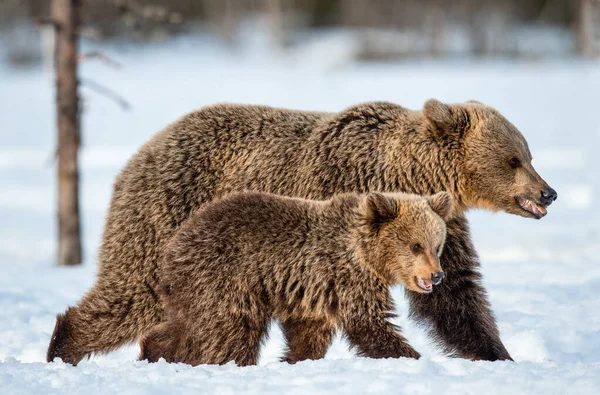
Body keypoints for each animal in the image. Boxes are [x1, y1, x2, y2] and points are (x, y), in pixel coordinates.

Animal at [47, 98, 556, 366]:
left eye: (528, 153)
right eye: (514, 158)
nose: (548, 192)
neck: (409, 174)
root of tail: (144, 150)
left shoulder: (443, 226)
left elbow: (457, 297)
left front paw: (499, 354)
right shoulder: (342, 206)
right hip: (166, 212)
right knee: (133, 292)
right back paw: (63, 347)